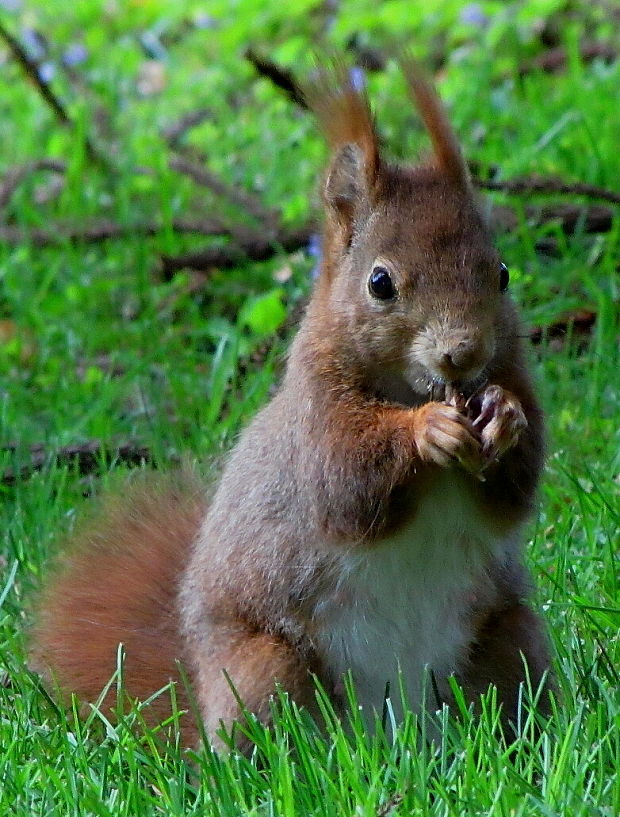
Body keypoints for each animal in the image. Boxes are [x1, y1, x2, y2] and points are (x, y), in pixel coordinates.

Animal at [31, 62, 548, 752]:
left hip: (509, 642)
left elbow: (510, 498)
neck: (408, 387)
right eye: (379, 283)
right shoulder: (314, 419)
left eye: (503, 272)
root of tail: (397, 732)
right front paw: (427, 431)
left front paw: (505, 417)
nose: (462, 355)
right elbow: (346, 484)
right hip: (265, 672)